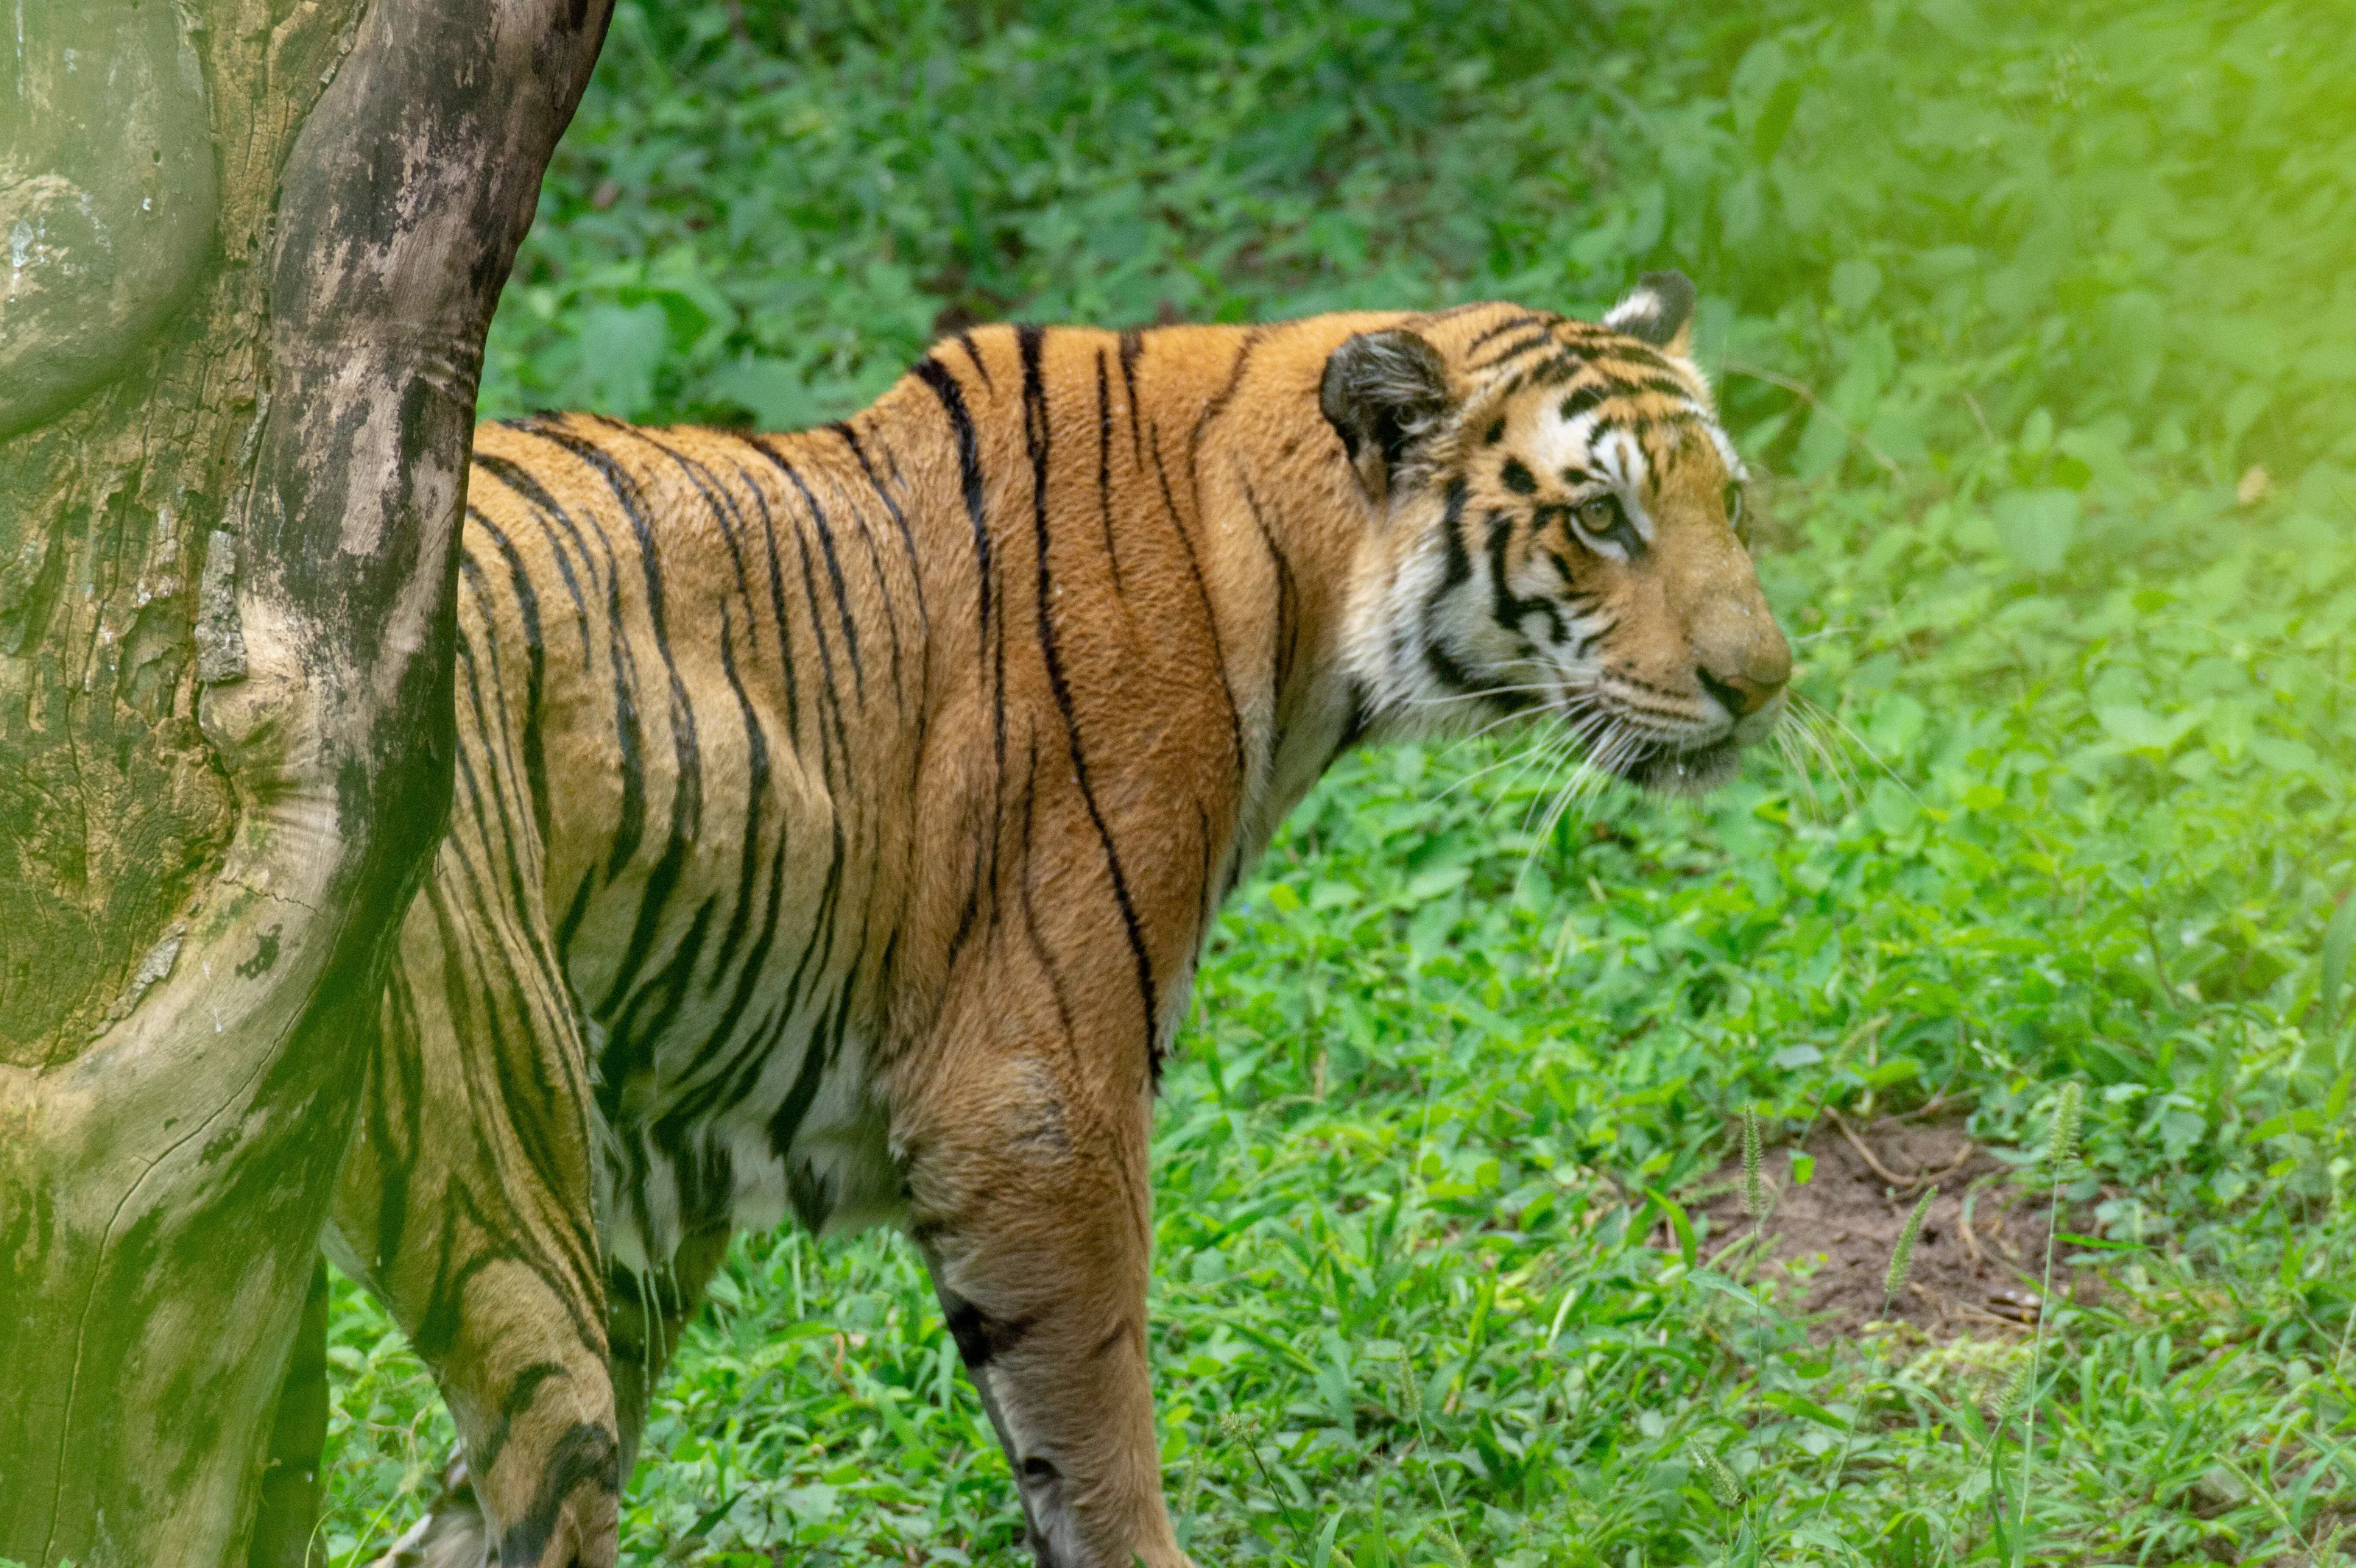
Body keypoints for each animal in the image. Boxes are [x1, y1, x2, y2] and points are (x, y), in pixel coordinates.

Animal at [317, 270, 1790, 1568]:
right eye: (1599, 520)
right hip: (500, 1189)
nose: (1767, 682)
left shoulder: (668, 1189)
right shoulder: (1035, 1098)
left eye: (1731, 503)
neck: (1296, 589)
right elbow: (1094, 1421)